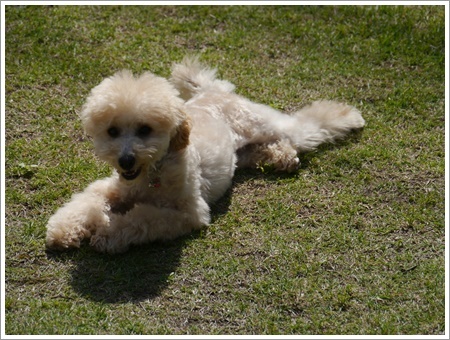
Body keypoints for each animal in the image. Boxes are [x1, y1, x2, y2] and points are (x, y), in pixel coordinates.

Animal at [44, 56, 364, 252]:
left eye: (145, 129)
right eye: (112, 131)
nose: (125, 160)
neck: (152, 172)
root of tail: (213, 92)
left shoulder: (189, 212)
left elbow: (140, 218)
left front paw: (106, 233)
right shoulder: (113, 187)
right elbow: (84, 201)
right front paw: (64, 229)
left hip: (261, 122)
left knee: (306, 127)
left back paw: (348, 116)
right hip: (240, 154)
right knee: (265, 150)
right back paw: (282, 157)